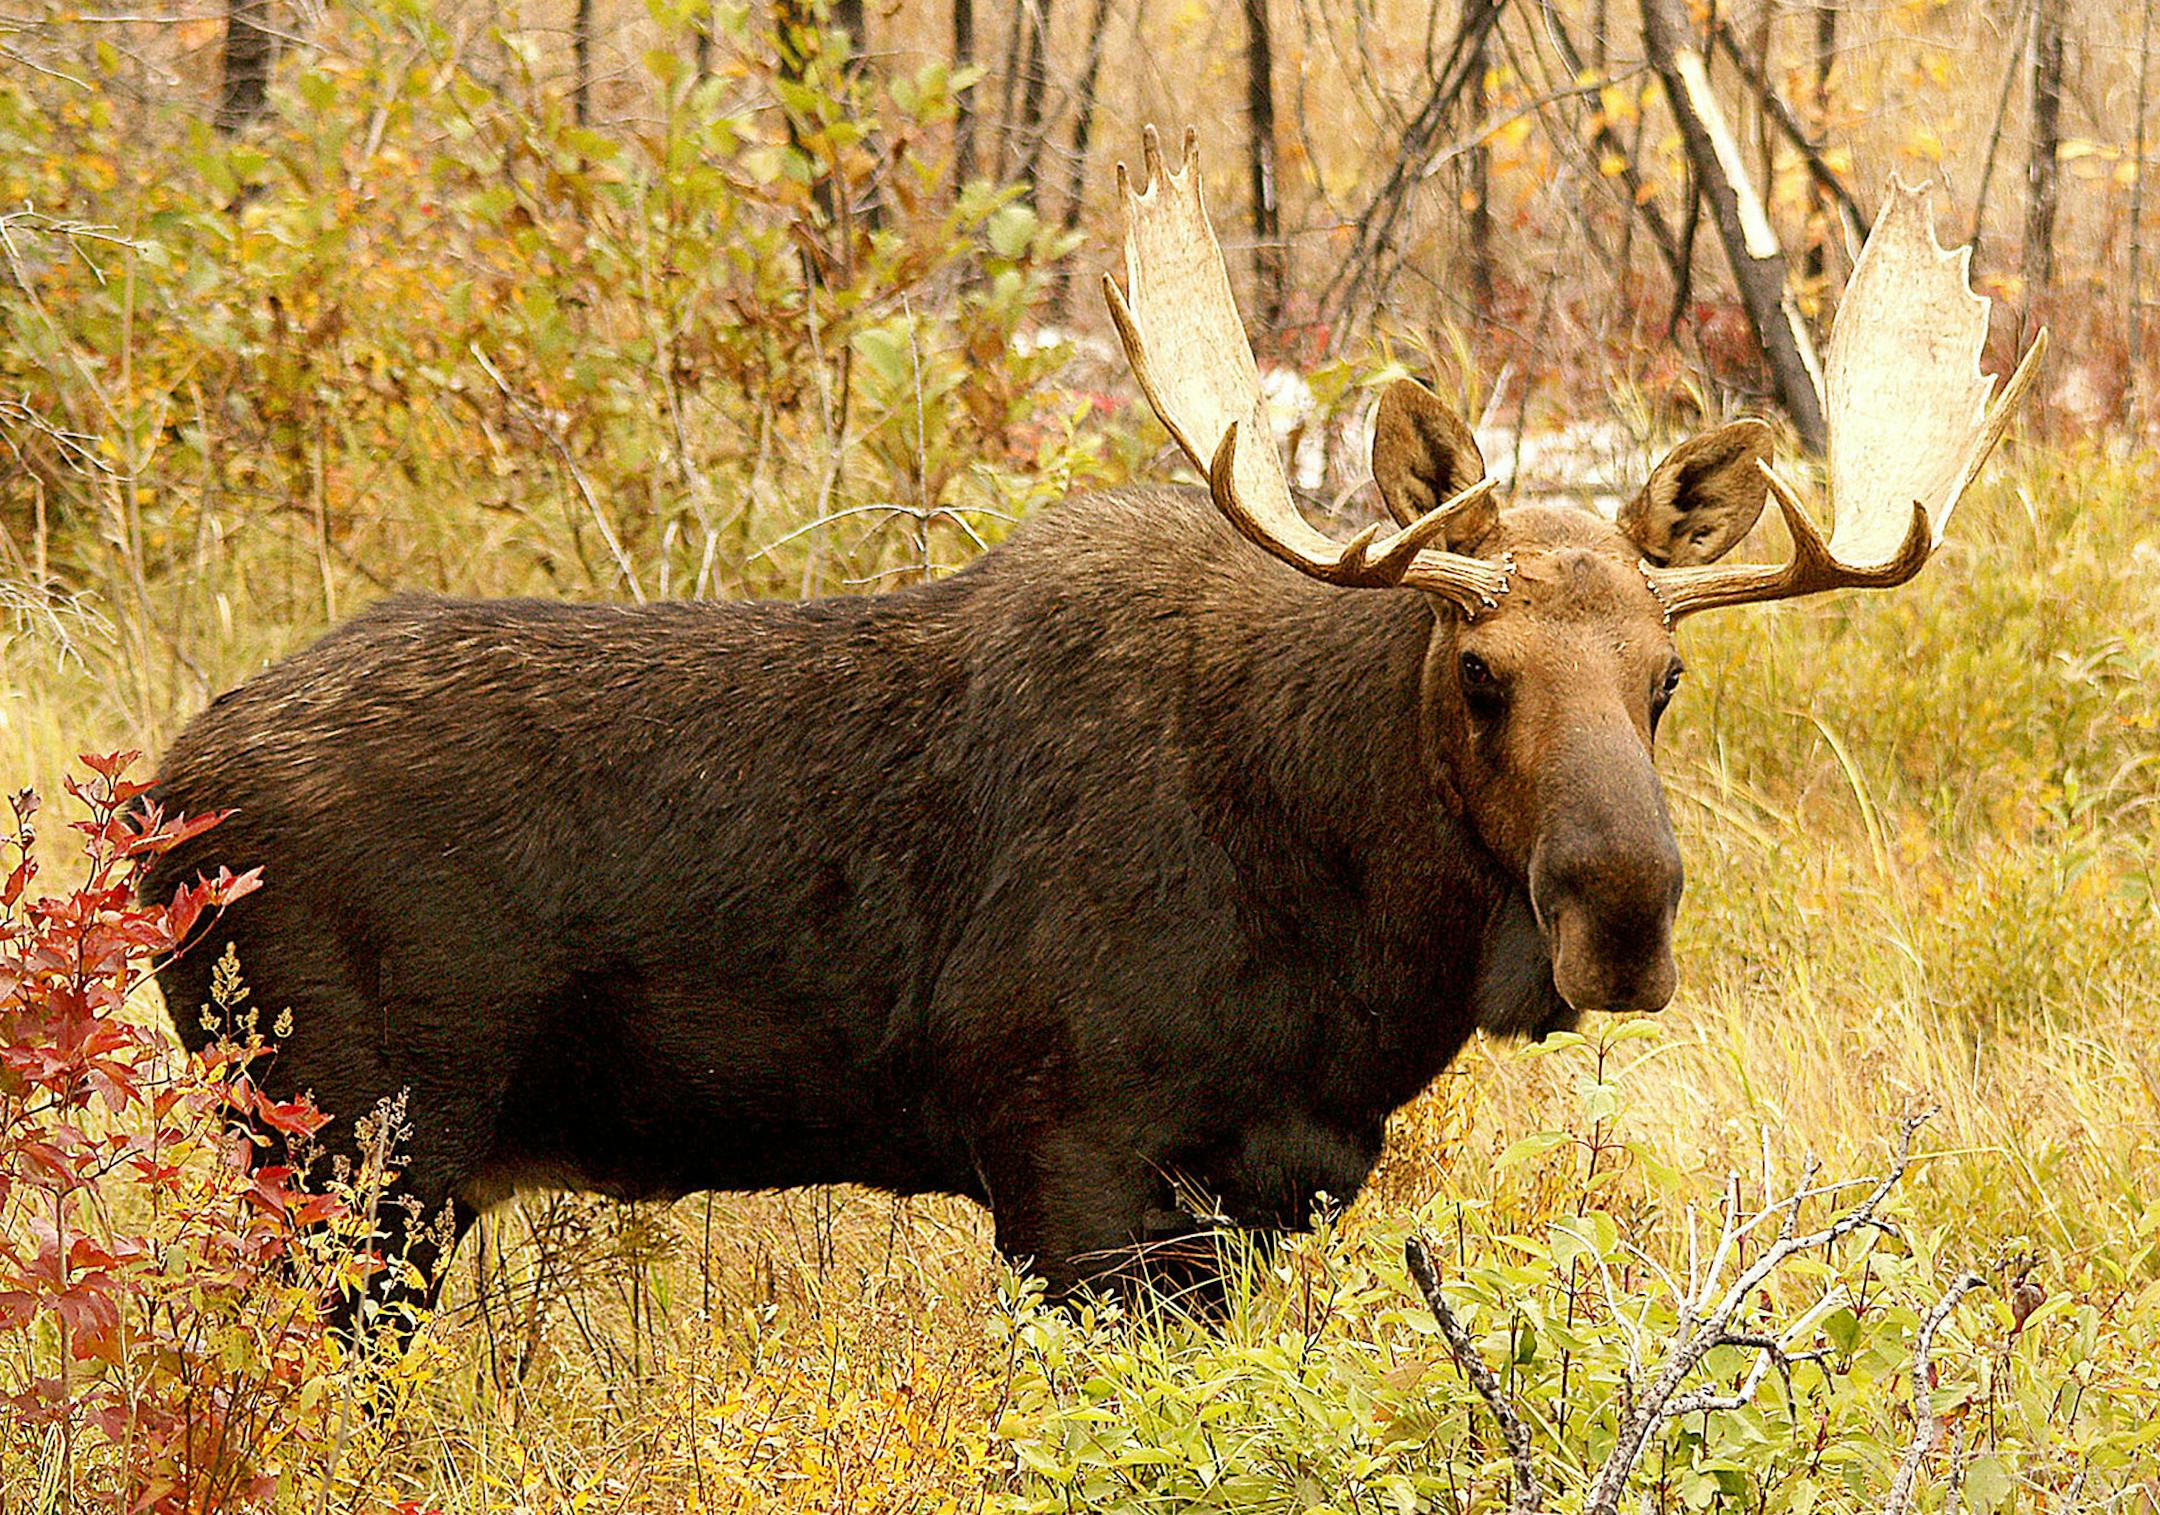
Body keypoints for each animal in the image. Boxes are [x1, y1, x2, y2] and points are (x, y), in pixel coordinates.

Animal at [142, 128, 2042, 1312]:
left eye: (1668, 674)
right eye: (1480, 669)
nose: (1625, 915)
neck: (1357, 951)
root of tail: (157, 795)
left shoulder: (1265, 1189)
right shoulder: (1068, 1156)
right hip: (348, 1154)